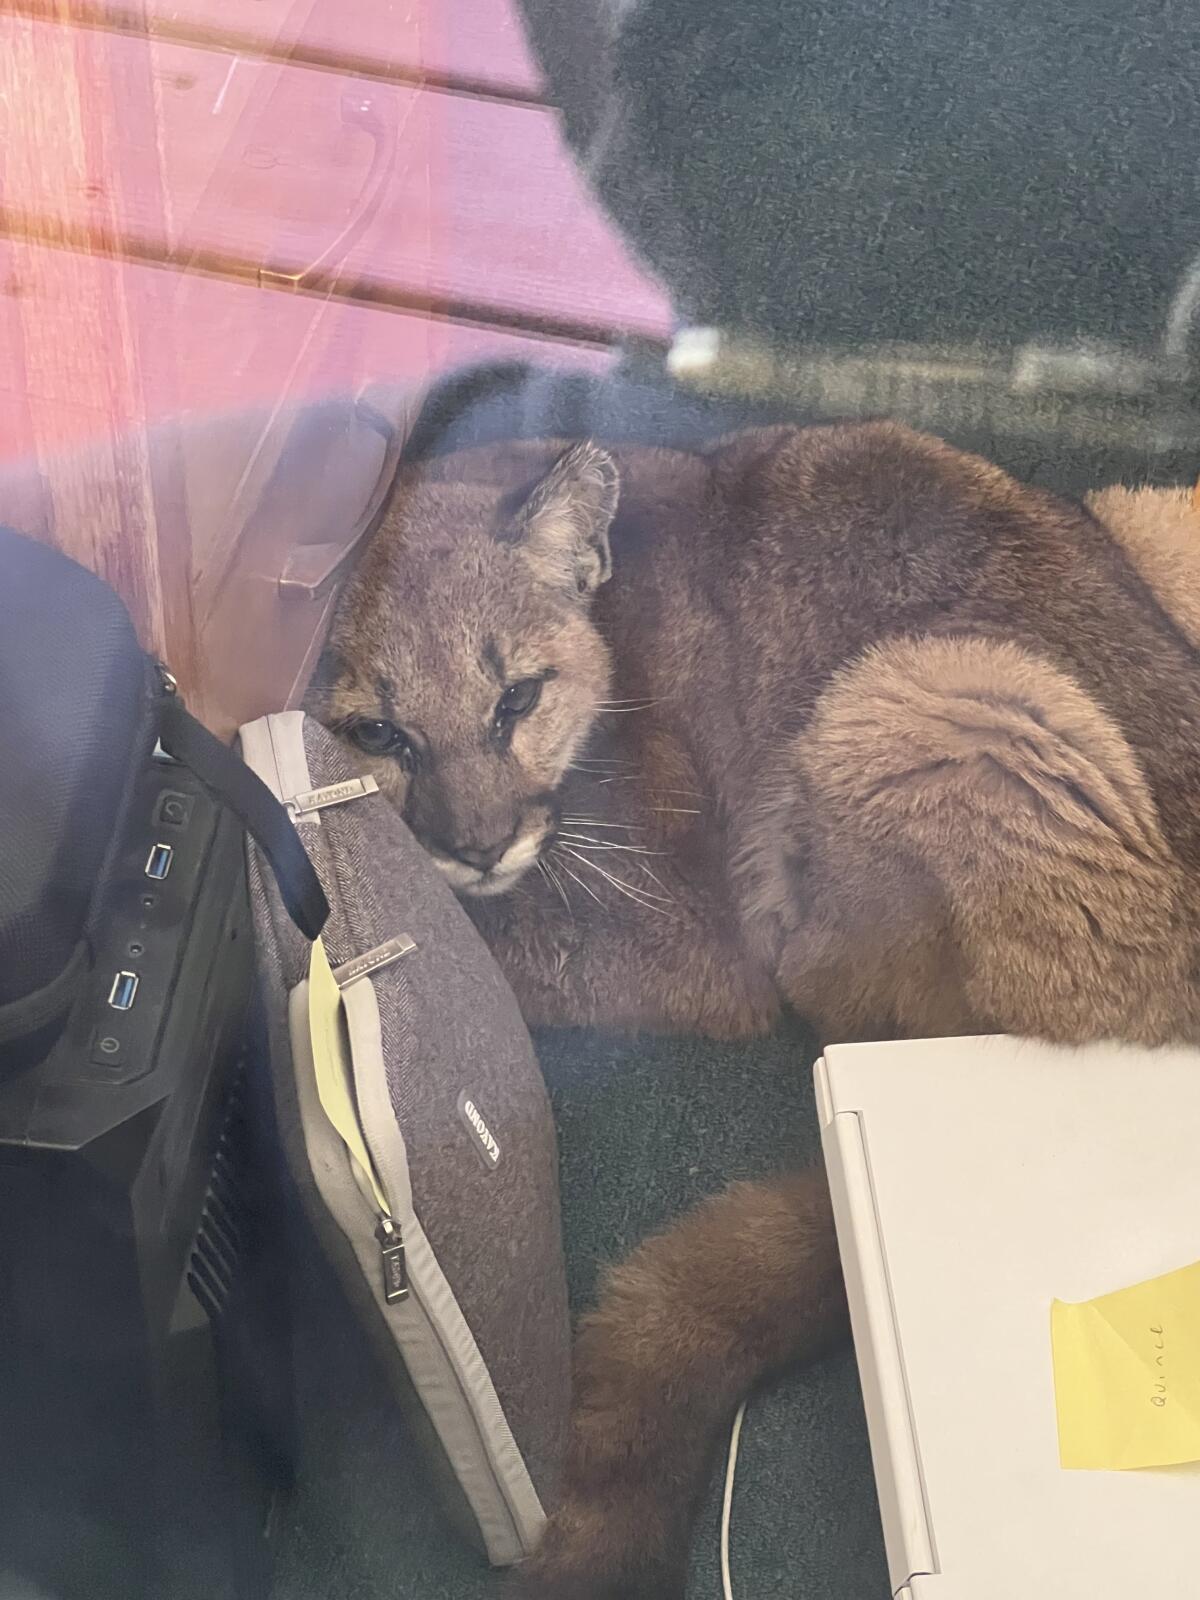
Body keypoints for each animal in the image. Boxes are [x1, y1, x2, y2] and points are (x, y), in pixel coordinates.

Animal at [307, 419, 1200, 1593]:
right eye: (378, 734)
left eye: (516, 701)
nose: (477, 844)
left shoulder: (696, 943)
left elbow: (506, 941)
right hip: (1143, 512)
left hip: (935, 691)